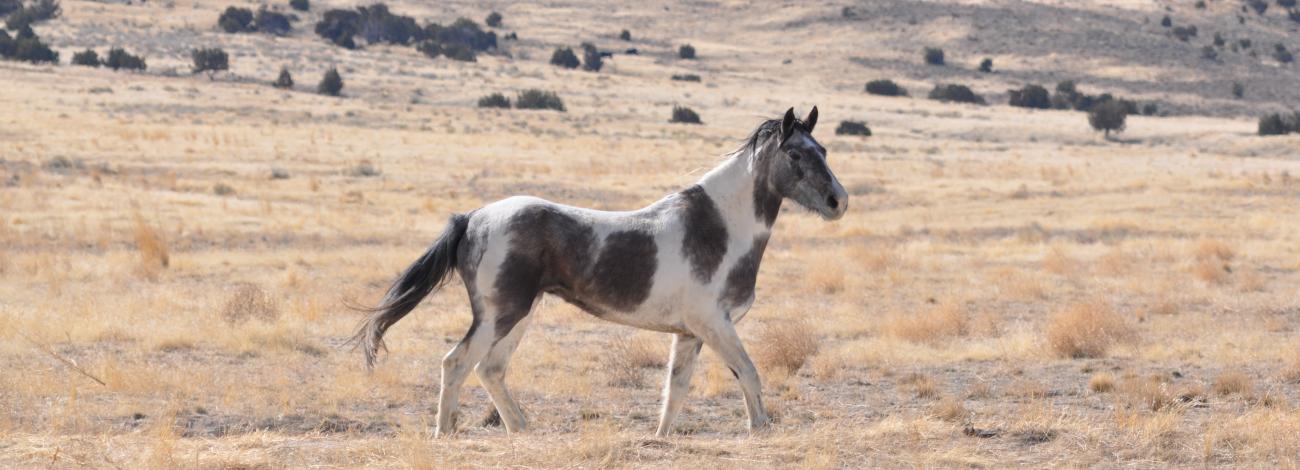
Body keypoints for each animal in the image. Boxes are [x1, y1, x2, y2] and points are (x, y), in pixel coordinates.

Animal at [351, 106, 847, 436]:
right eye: (796, 155)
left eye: (823, 149)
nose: (838, 201)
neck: (719, 227)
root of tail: (472, 218)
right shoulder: (715, 323)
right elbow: (748, 372)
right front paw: (760, 430)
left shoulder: (690, 333)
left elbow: (676, 389)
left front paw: (660, 438)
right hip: (499, 315)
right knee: (456, 363)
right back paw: (446, 433)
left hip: (519, 314)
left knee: (490, 369)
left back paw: (523, 431)